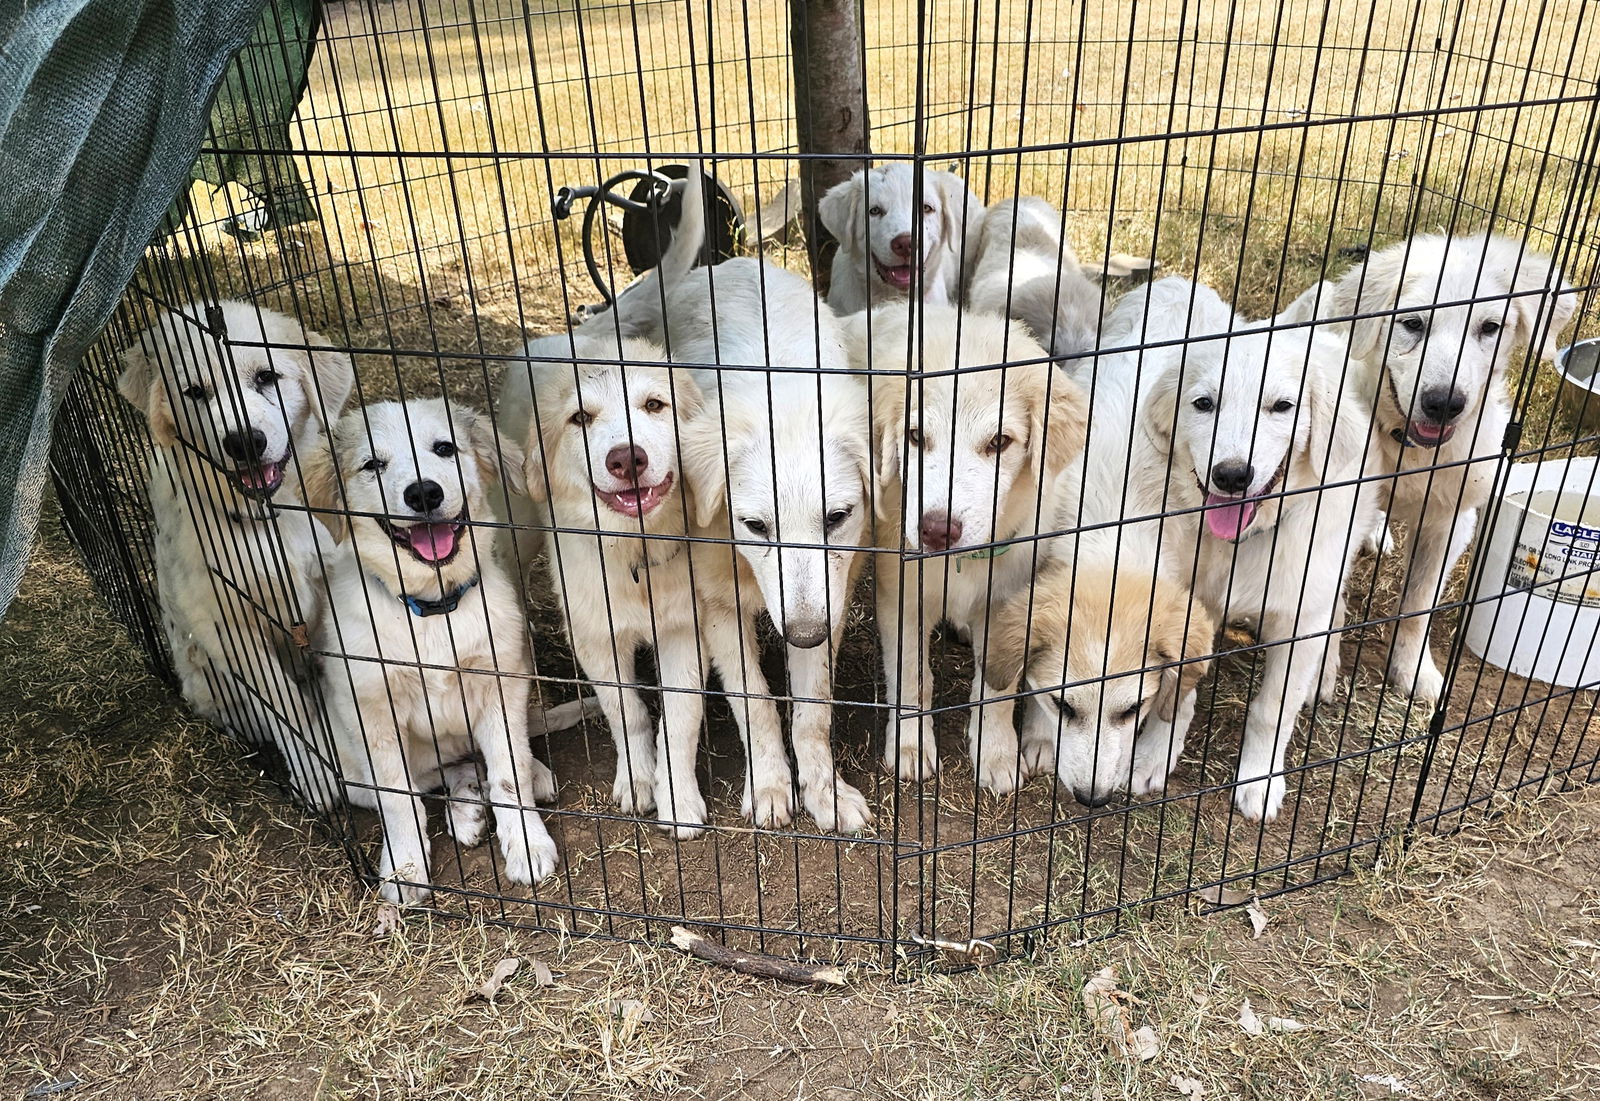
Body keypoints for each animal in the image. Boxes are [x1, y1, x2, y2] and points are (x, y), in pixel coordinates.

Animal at [117, 300, 353, 809]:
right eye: (195, 391)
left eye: (266, 376)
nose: (245, 442)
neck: (266, 519)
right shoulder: (228, 626)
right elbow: (285, 706)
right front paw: (315, 771)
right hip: (200, 668)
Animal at [302, 398, 560, 902]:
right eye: (372, 465)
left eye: (444, 448)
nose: (424, 493)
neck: (433, 607)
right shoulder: (373, 711)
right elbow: (398, 796)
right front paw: (405, 866)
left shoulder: (502, 683)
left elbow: (509, 772)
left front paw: (526, 842)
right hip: (349, 761)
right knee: (431, 778)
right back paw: (465, 808)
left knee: (488, 761)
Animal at [1107, 280, 1382, 819]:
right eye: (1203, 403)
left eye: (1282, 407)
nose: (1232, 476)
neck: (1239, 544)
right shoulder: (1187, 607)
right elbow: (1177, 695)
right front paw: (1153, 755)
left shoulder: (1298, 618)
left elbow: (1271, 710)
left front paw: (1259, 780)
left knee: (1336, 601)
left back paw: (1324, 672)